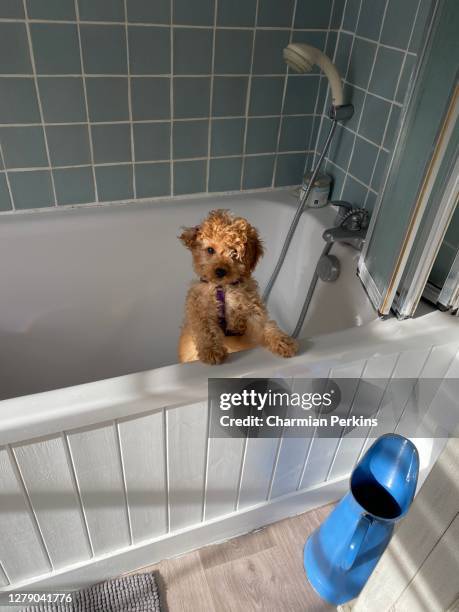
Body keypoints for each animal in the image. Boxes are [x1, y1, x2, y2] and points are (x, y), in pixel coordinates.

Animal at [178, 209, 300, 364]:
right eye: (210, 250)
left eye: (234, 253)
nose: (220, 271)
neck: (223, 288)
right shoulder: (200, 309)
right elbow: (206, 330)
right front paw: (211, 351)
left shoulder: (252, 311)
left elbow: (266, 325)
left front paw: (282, 341)